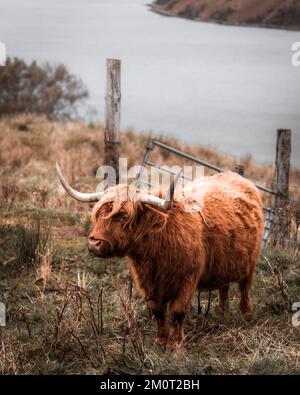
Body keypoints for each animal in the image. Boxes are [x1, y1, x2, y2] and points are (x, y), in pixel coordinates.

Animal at [55, 166, 262, 348]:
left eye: (123, 216)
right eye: (97, 214)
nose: (94, 243)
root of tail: (237, 177)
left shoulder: (187, 279)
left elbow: (178, 311)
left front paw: (175, 344)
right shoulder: (148, 282)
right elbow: (158, 310)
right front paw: (161, 340)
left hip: (250, 263)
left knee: (245, 288)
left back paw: (246, 315)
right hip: (224, 263)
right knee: (224, 287)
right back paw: (222, 312)